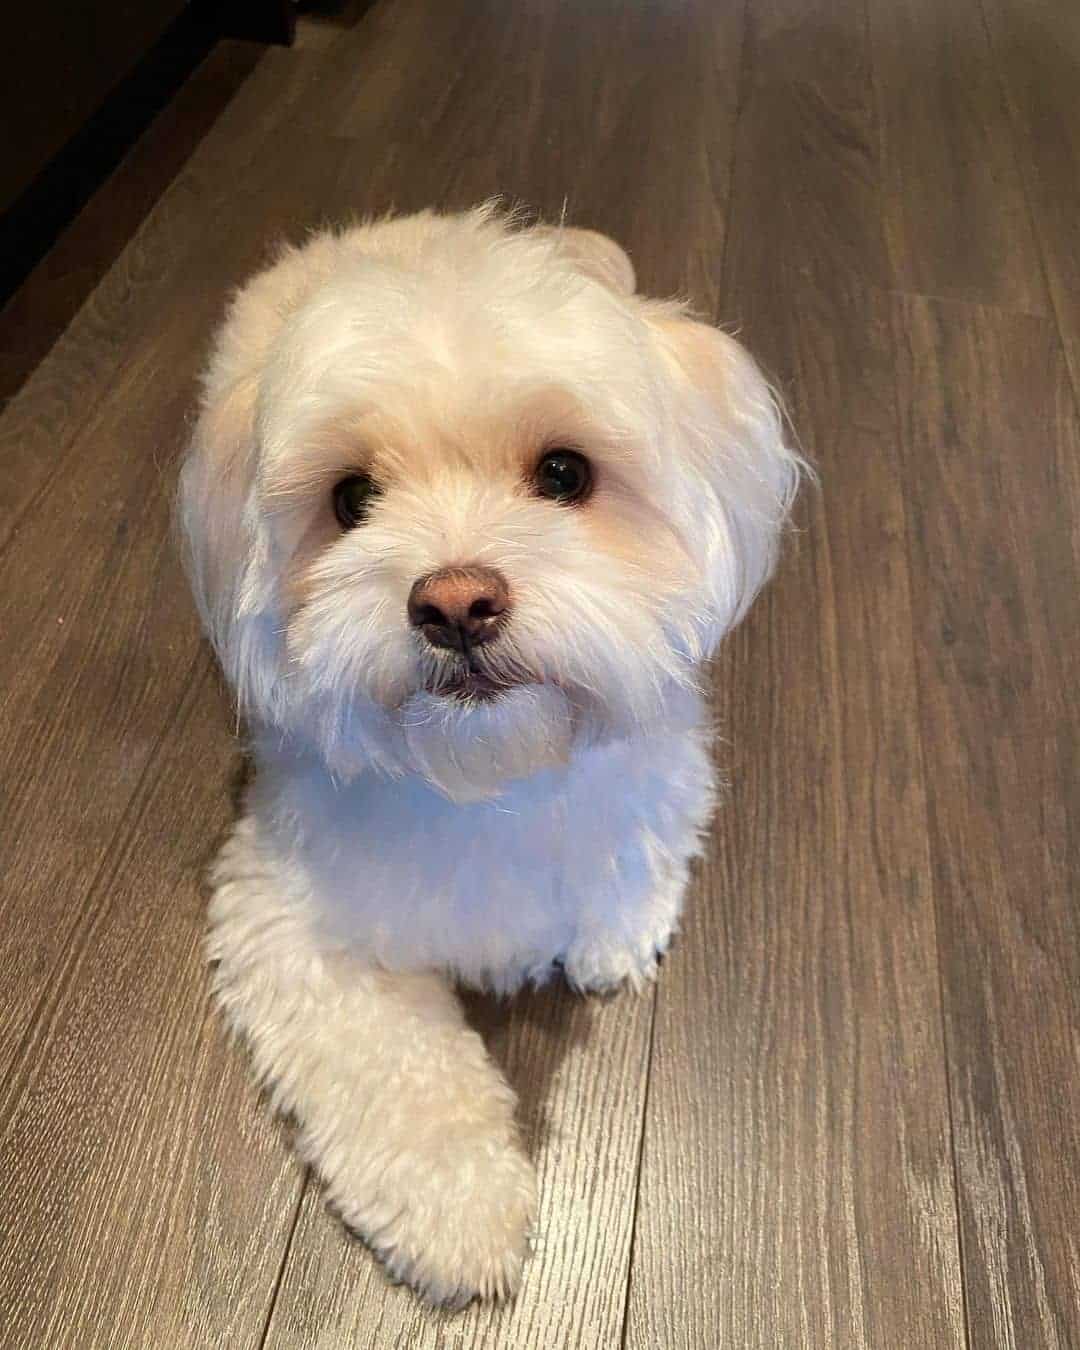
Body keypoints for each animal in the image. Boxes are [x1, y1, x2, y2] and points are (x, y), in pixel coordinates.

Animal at [179, 205, 799, 1301]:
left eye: (563, 474)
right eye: (351, 500)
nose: (455, 602)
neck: (491, 774)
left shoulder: (651, 774)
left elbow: (631, 855)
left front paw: (617, 927)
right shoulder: (292, 916)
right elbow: (397, 1071)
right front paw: (460, 1213)